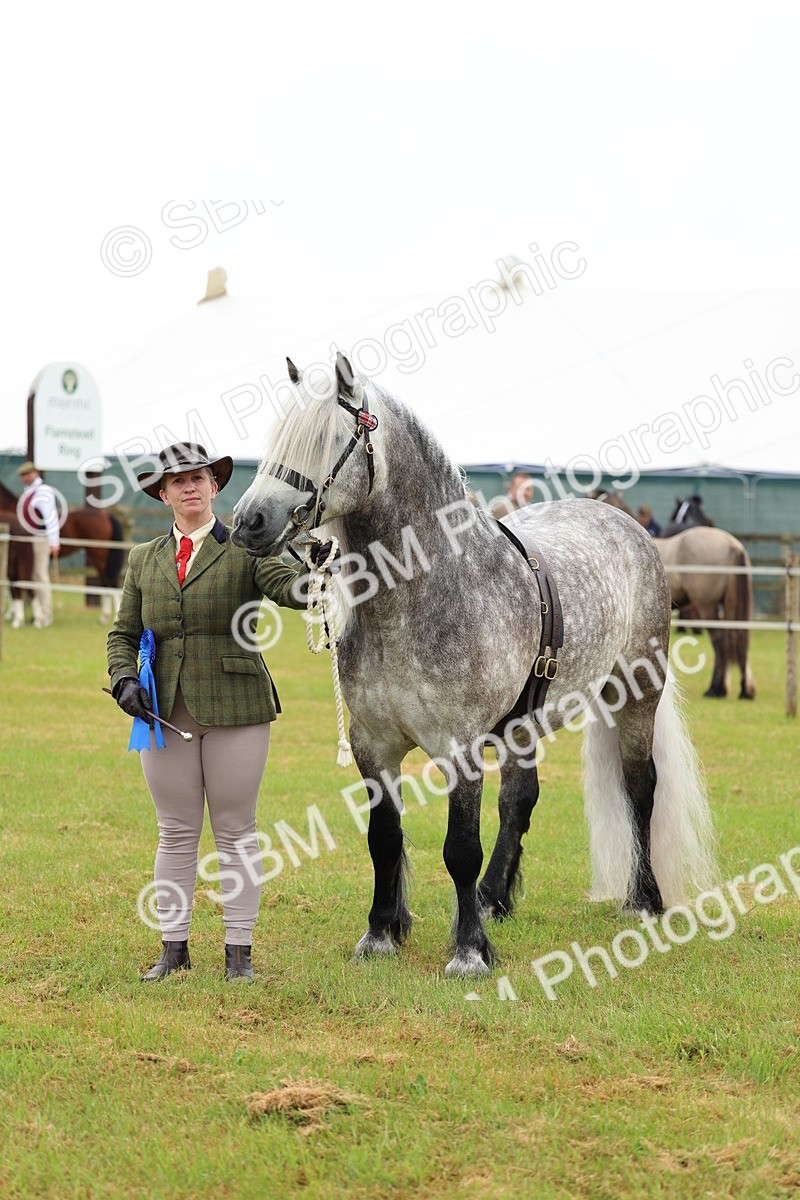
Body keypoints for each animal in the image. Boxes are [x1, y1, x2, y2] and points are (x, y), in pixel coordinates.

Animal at [231, 354, 716, 976]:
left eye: (327, 439)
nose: (249, 521)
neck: (421, 593)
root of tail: (625, 524)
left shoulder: (459, 749)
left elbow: (459, 848)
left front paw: (468, 951)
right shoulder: (373, 747)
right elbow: (384, 840)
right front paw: (381, 935)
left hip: (636, 696)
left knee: (640, 787)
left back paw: (644, 901)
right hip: (522, 723)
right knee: (520, 800)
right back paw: (495, 898)